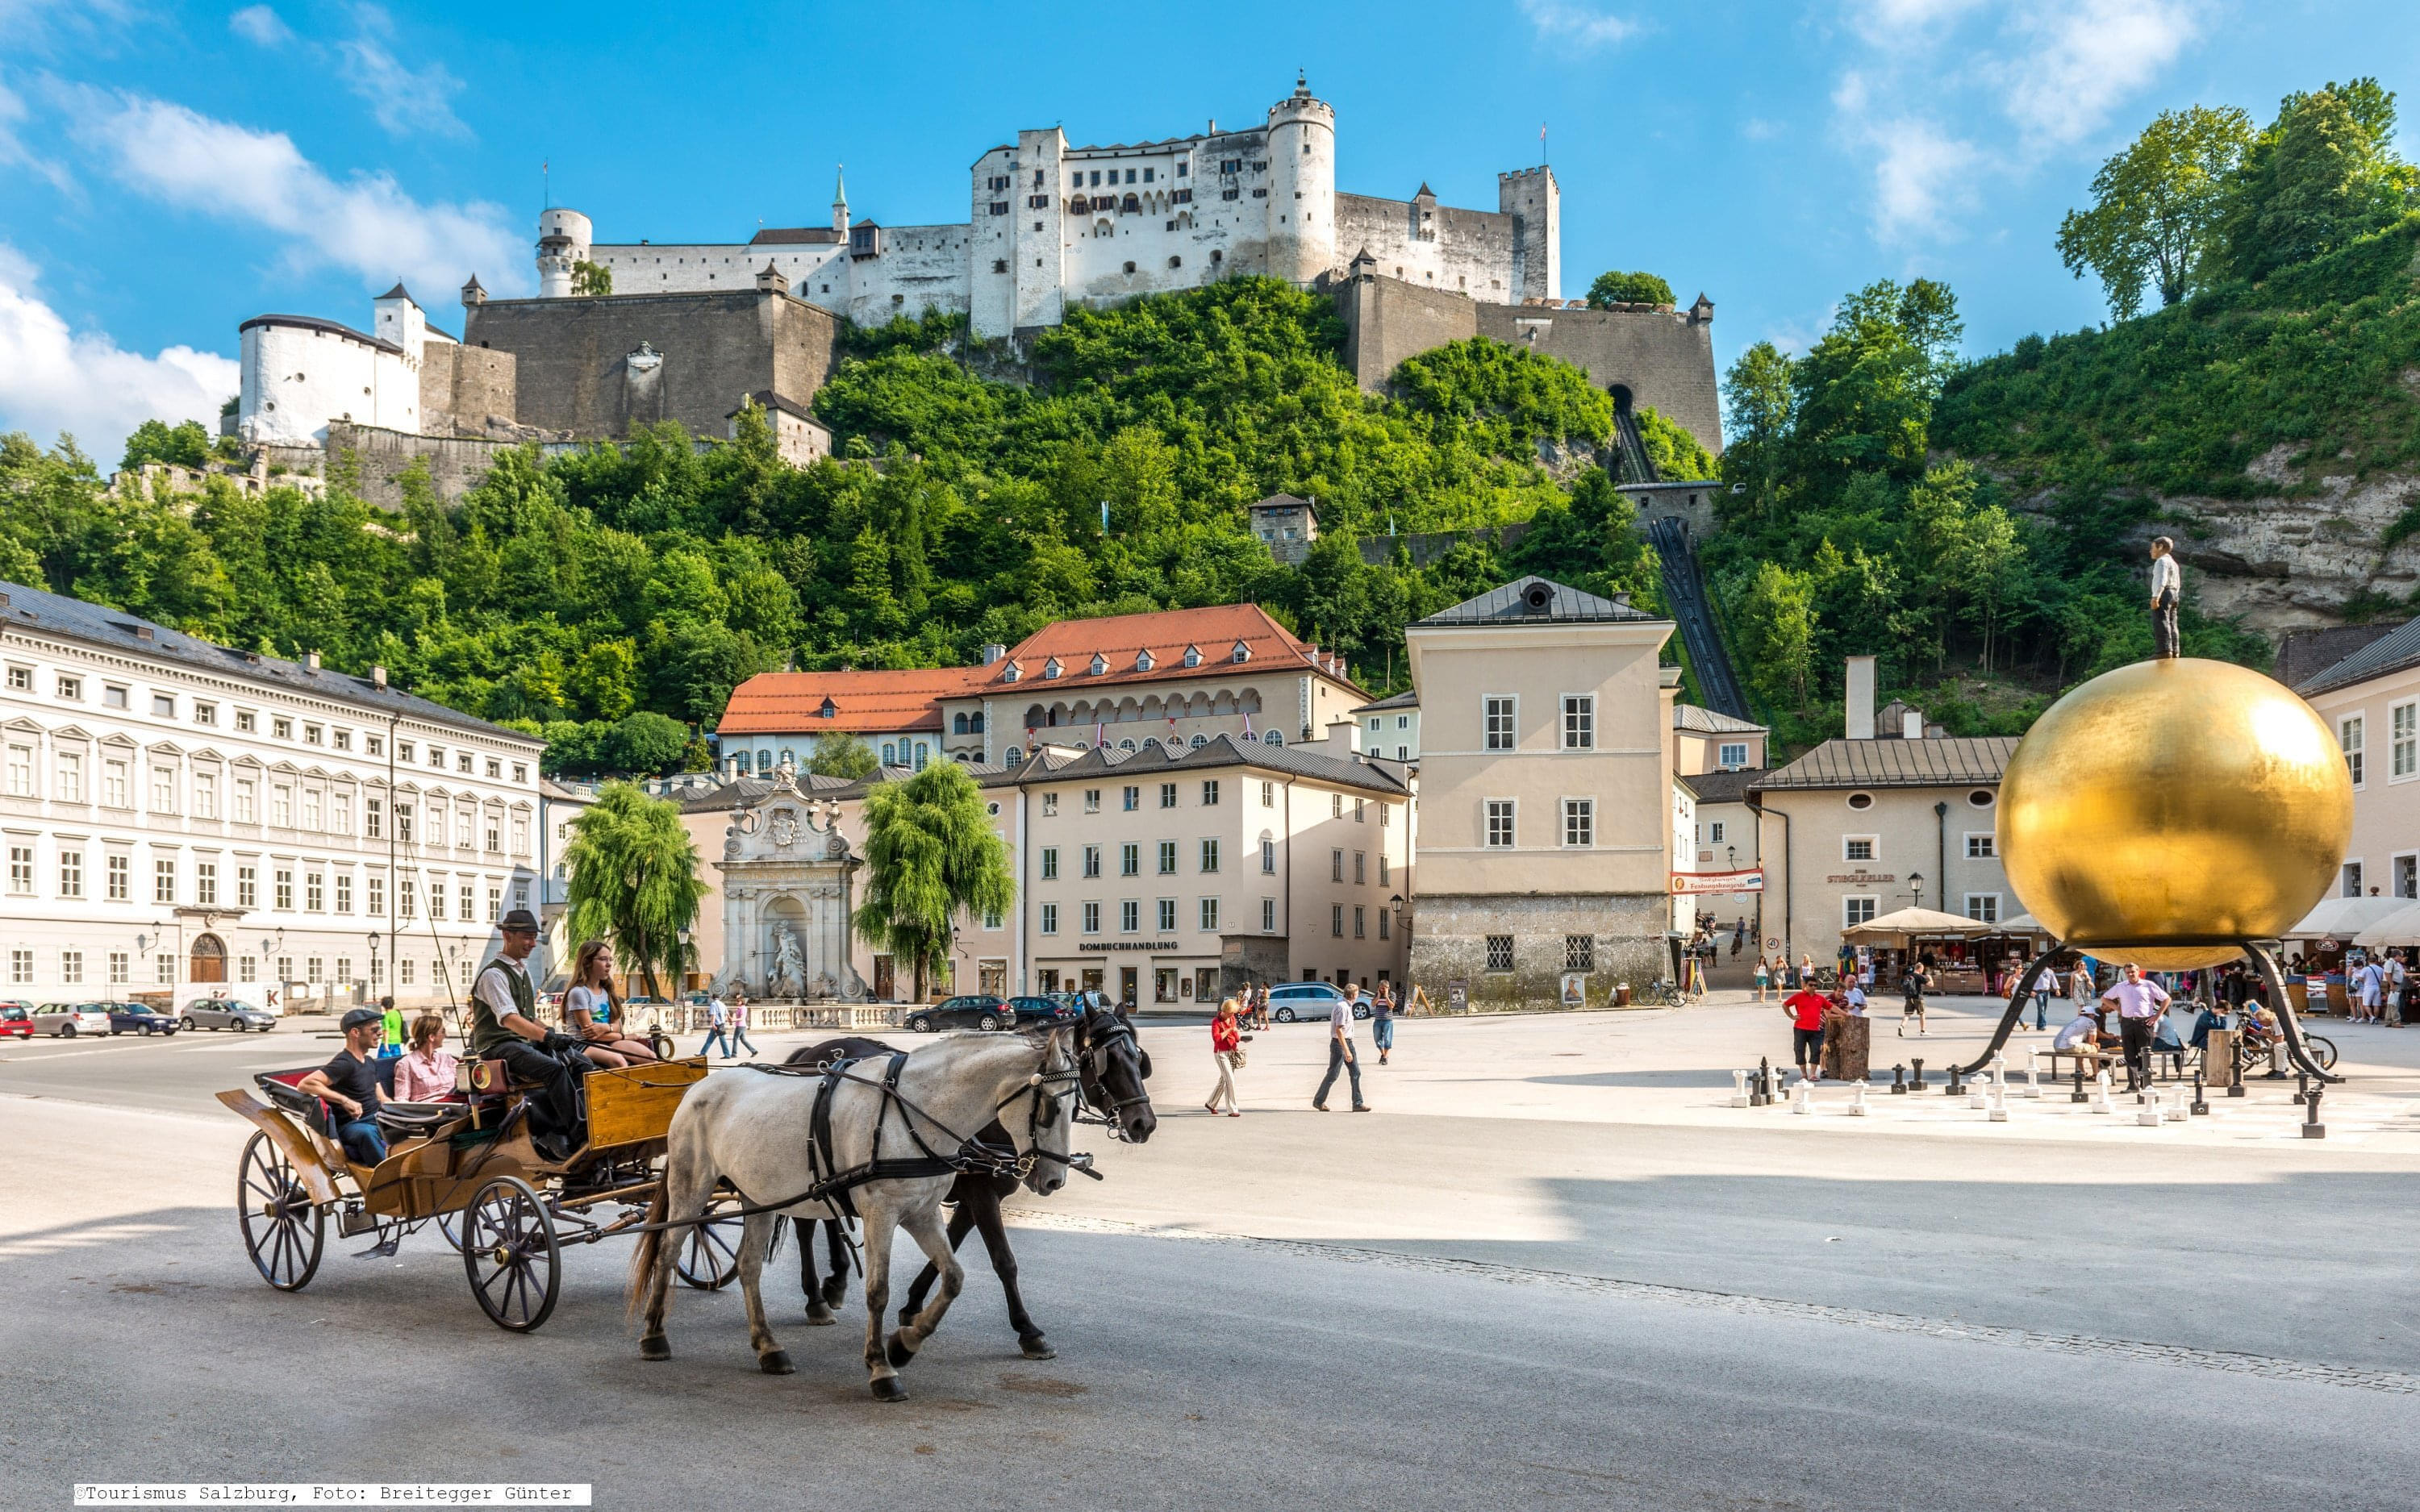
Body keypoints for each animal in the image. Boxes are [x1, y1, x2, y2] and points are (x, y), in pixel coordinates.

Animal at [634, 1026, 1079, 1403]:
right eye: (1049, 1110)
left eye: (1076, 1107)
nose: (1055, 1179)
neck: (914, 1113)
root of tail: (700, 1085)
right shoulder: (883, 1213)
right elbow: (879, 1291)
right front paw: (882, 1367)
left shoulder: (923, 1213)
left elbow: (954, 1277)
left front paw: (904, 1343)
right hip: (692, 1186)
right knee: (669, 1251)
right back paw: (654, 1334)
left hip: (756, 1195)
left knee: (748, 1266)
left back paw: (769, 1346)